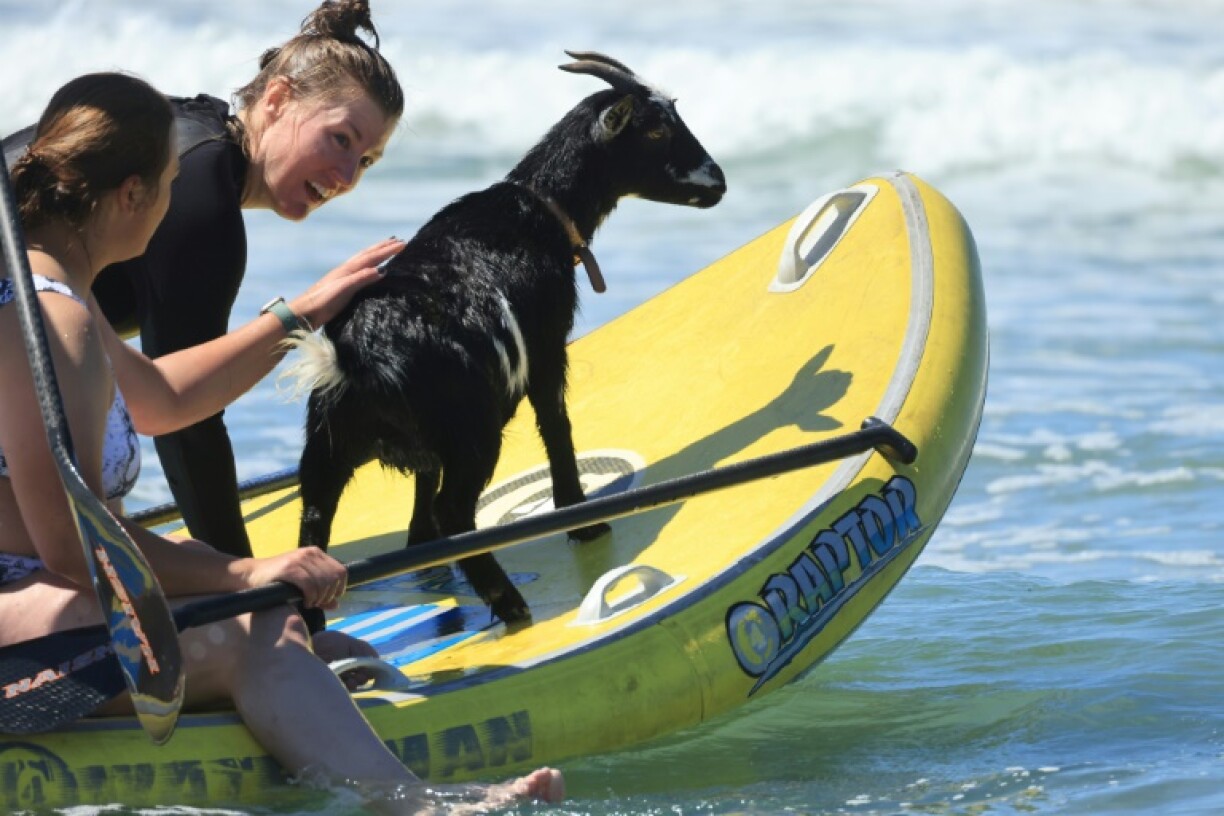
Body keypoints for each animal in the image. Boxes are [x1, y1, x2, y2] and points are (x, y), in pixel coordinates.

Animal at [286, 51, 726, 624]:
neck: (540, 211)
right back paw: (510, 603)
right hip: (471, 428)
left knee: (314, 521)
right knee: (455, 510)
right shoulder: (546, 348)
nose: (717, 181)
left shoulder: (431, 445)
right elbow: (556, 424)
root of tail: (356, 356)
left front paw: (420, 548)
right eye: (654, 130)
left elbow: (423, 487)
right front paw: (583, 521)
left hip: (328, 441)